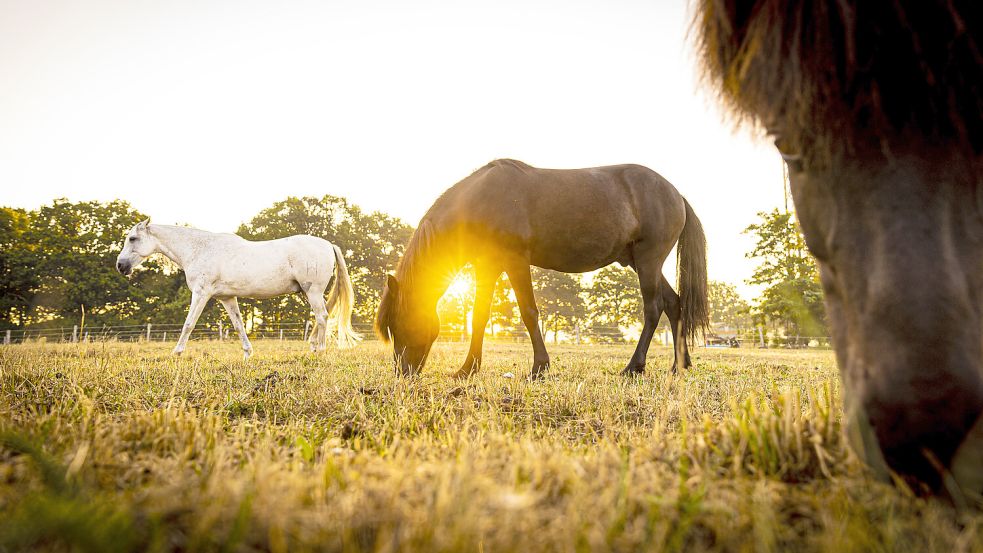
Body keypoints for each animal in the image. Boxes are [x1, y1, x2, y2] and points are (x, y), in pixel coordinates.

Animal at [115, 219, 360, 357]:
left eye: (132, 238)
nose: (120, 266)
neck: (199, 249)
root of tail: (327, 244)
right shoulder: (227, 298)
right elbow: (239, 325)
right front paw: (248, 353)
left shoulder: (201, 294)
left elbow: (188, 325)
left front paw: (176, 353)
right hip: (309, 293)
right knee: (322, 316)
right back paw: (314, 346)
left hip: (313, 292)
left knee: (322, 317)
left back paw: (320, 351)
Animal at [375, 159, 709, 379]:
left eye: (398, 323)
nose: (403, 373)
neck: (480, 202)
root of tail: (675, 193)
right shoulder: (488, 267)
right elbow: (479, 316)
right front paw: (467, 369)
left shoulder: (515, 262)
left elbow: (528, 312)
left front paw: (539, 367)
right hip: (640, 262)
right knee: (674, 304)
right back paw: (679, 365)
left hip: (649, 260)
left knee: (653, 308)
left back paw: (634, 367)